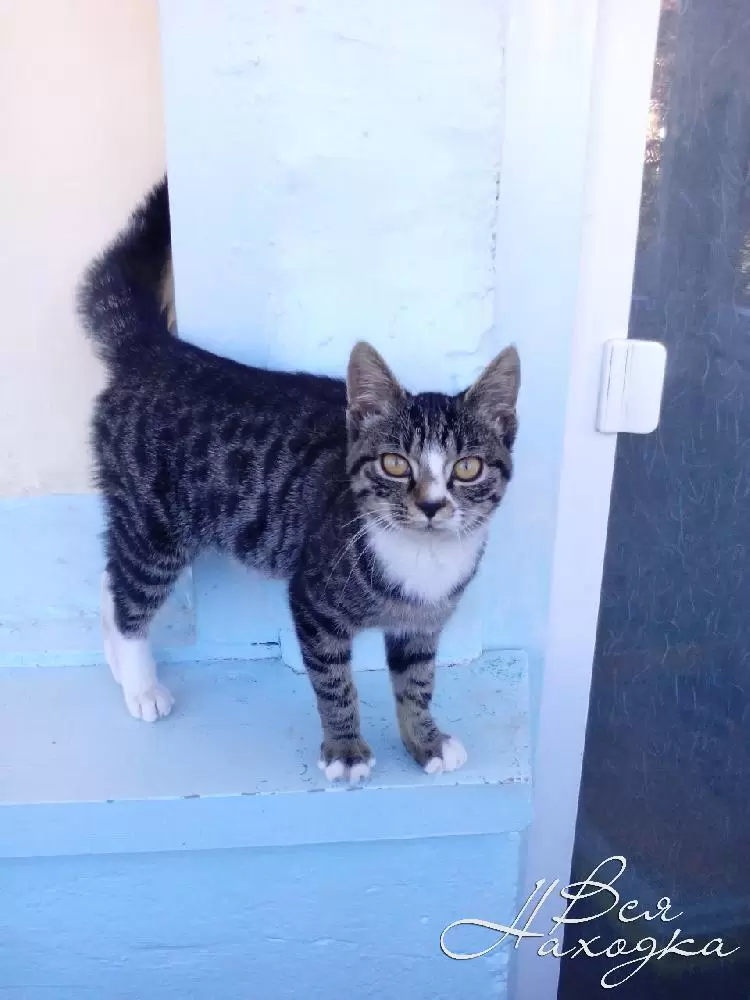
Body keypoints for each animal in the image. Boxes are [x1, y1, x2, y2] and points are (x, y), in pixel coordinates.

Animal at [77, 179, 520, 782]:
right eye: (395, 464)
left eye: (467, 468)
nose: (431, 505)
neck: (422, 561)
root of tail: (159, 351)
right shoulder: (313, 601)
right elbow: (335, 684)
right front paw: (347, 750)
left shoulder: (422, 624)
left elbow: (418, 682)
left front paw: (426, 740)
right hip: (156, 521)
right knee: (132, 587)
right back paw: (141, 682)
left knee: (112, 574)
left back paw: (122, 668)